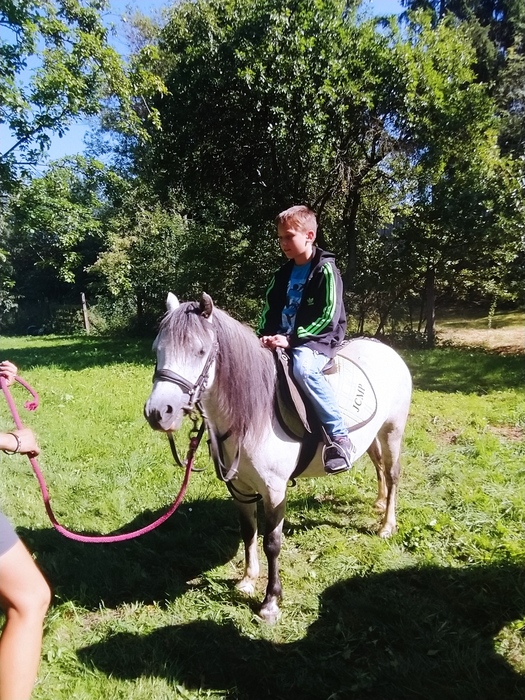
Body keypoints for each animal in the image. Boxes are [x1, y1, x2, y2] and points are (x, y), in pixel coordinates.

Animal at [144, 293, 412, 623]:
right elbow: (248, 532)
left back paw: (387, 525)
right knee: (378, 465)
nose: (158, 412)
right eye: (157, 350)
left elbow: (272, 543)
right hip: (373, 435)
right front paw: (248, 580)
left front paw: (270, 602)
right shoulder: (240, 489)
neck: (251, 416)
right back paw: (378, 502)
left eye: (200, 350)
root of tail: (386, 350)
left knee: (392, 473)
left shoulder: (274, 491)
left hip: (392, 431)